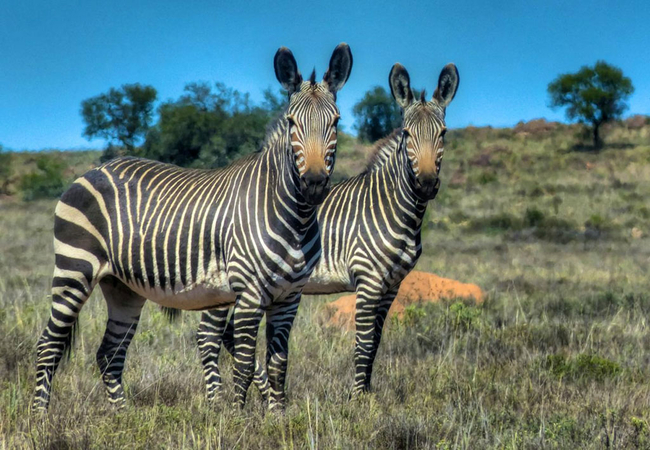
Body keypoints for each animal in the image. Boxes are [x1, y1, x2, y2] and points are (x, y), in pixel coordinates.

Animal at [33, 42, 352, 412]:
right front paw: (238, 417)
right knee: (49, 345)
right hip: (74, 270)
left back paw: (121, 416)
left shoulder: (290, 297)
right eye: (291, 123)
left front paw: (279, 416)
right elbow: (245, 363)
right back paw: (40, 415)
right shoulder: (249, 292)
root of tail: (93, 170)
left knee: (109, 354)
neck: (295, 217)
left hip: (122, 287)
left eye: (336, 122)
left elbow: (278, 362)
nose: (314, 183)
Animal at [205, 60, 458, 400]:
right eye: (407, 134)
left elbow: (376, 342)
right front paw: (358, 399)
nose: (426, 184)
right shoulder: (369, 280)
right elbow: (364, 342)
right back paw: (216, 401)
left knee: (226, 335)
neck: (395, 209)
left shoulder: (392, 286)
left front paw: (368, 394)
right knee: (209, 336)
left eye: (443, 134)